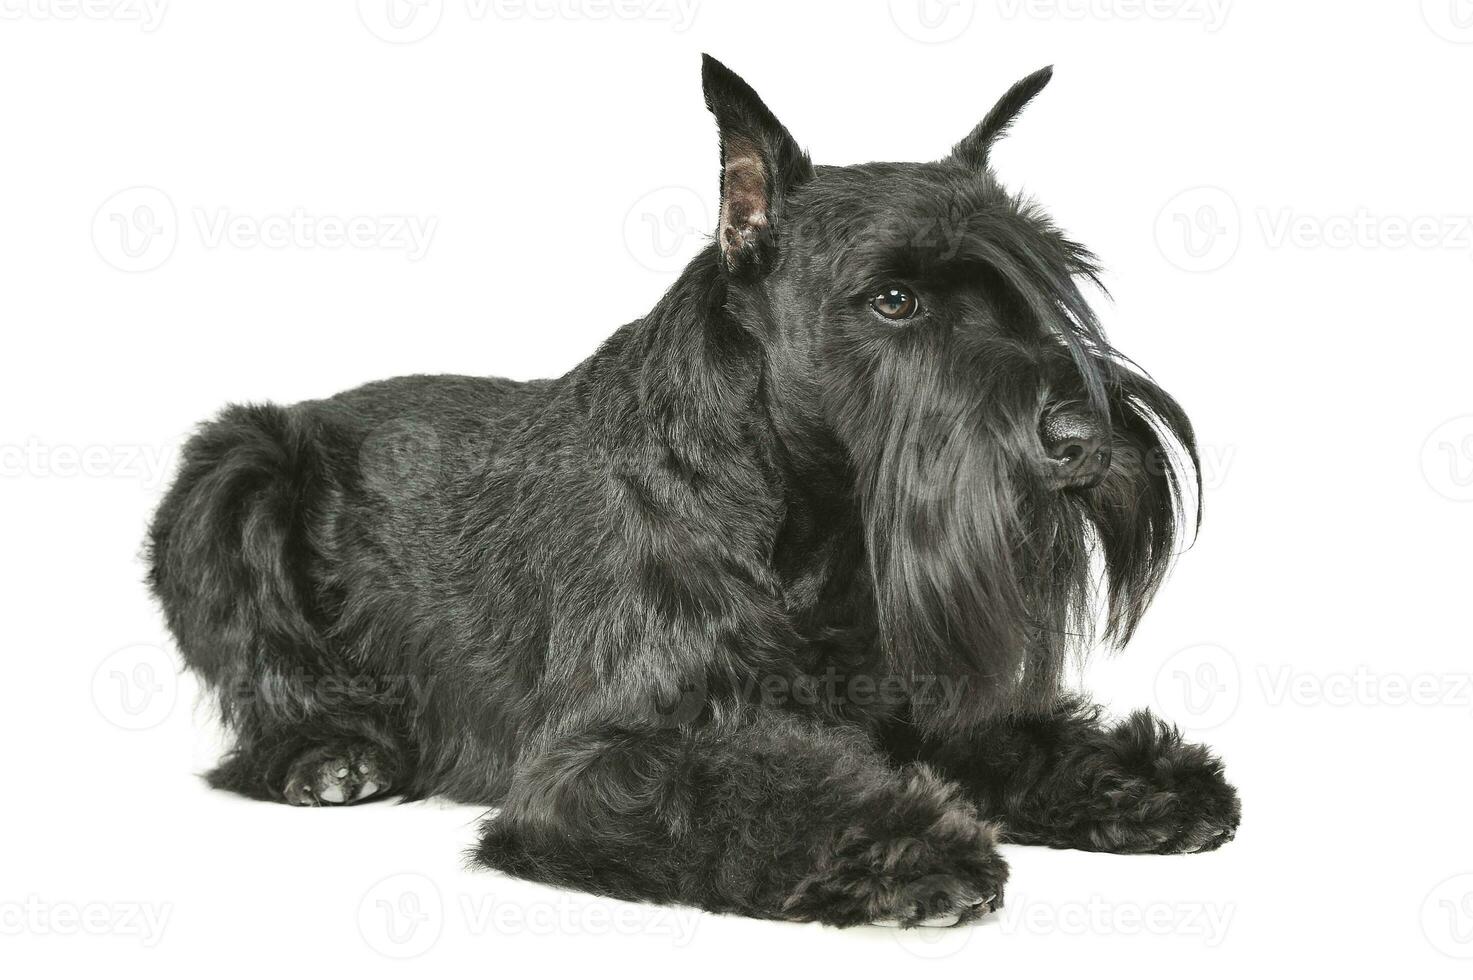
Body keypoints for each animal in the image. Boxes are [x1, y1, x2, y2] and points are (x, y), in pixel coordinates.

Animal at [149, 57, 1237, 931]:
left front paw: (1143, 781)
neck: (811, 528)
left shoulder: (917, 701)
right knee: (259, 677)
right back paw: (328, 754)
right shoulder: (605, 759)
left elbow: (1022, 738)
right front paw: (907, 845)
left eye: (1044, 288)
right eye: (894, 299)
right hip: (234, 469)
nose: (1086, 437)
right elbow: (749, 790)